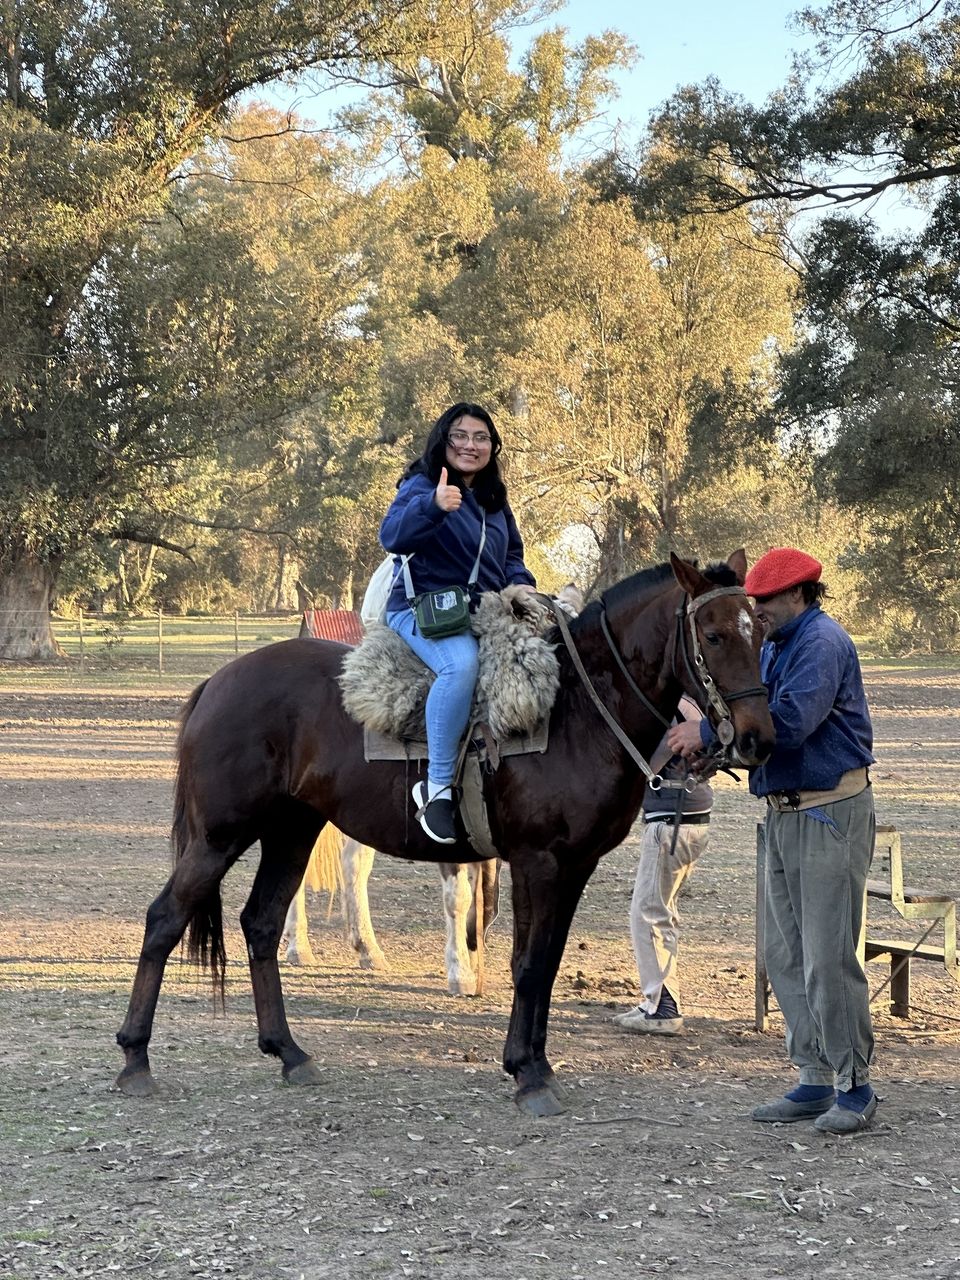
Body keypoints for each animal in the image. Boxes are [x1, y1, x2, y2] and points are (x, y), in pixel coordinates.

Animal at [116, 550, 778, 1111]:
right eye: (714, 635)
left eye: (764, 632)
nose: (757, 738)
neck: (574, 711)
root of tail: (217, 682)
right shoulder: (537, 862)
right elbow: (528, 964)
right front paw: (529, 1074)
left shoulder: (572, 866)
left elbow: (545, 961)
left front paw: (533, 1062)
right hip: (219, 837)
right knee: (165, 919)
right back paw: (135, 1058)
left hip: (292, 831)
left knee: (261, 923)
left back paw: (289, 1052)